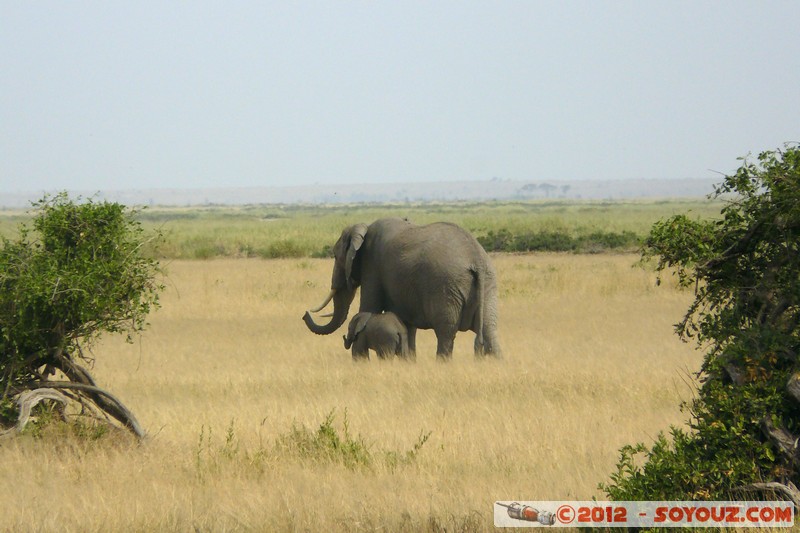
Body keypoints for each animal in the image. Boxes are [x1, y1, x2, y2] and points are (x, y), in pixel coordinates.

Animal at [302, 216, 500, 358]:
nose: (305, 313)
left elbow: (368, 308)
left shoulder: (372, 266)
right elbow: (406, 325)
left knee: (446, 333)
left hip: (446, 288)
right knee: (490, 331)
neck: (364, 228)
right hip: (488, 285)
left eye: (336, 256)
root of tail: (476, 259)